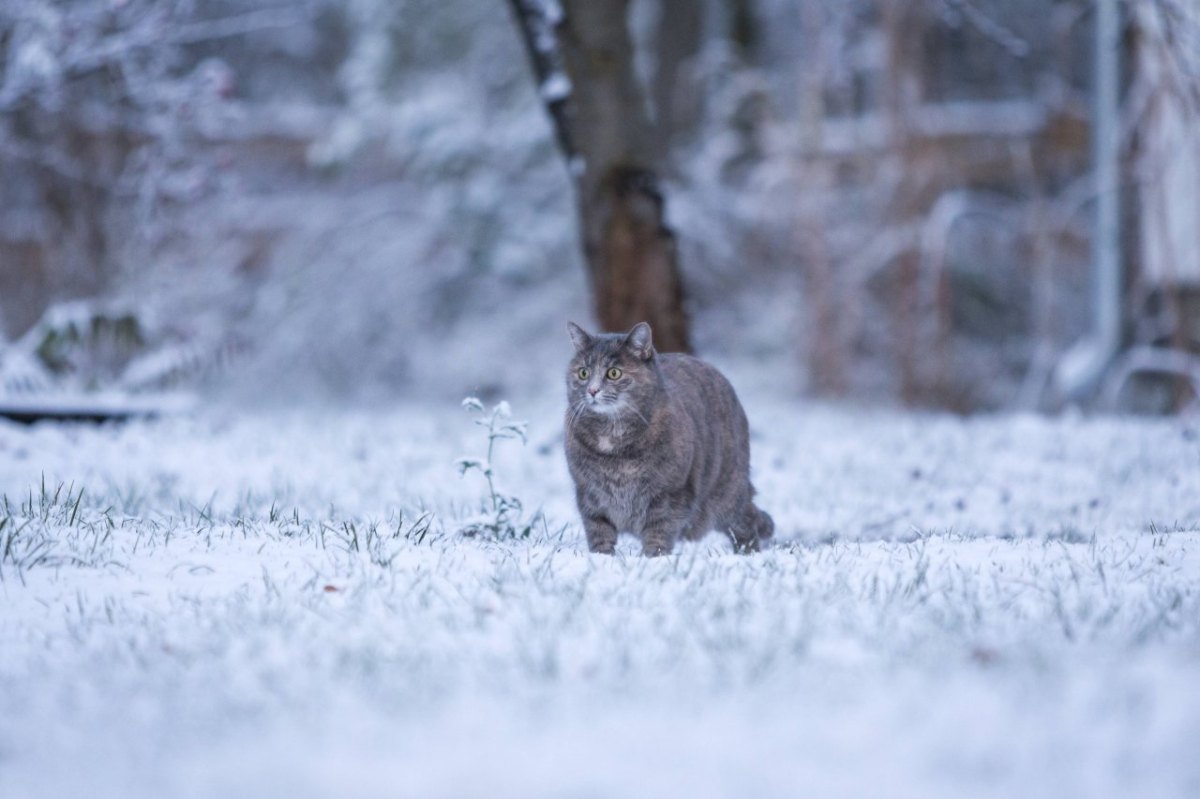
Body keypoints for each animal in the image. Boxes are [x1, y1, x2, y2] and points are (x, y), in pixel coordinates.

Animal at [559, 319, 772, 554]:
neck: (612, 438)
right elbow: (598, 531)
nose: (592, 390)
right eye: (583, 373)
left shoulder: (670, 494)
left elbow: (659, 529)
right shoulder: (588, 494)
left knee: (745, 522)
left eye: (614, 373)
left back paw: (747, 553)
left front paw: (654, 556)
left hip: (728, 491)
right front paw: (602, 557)